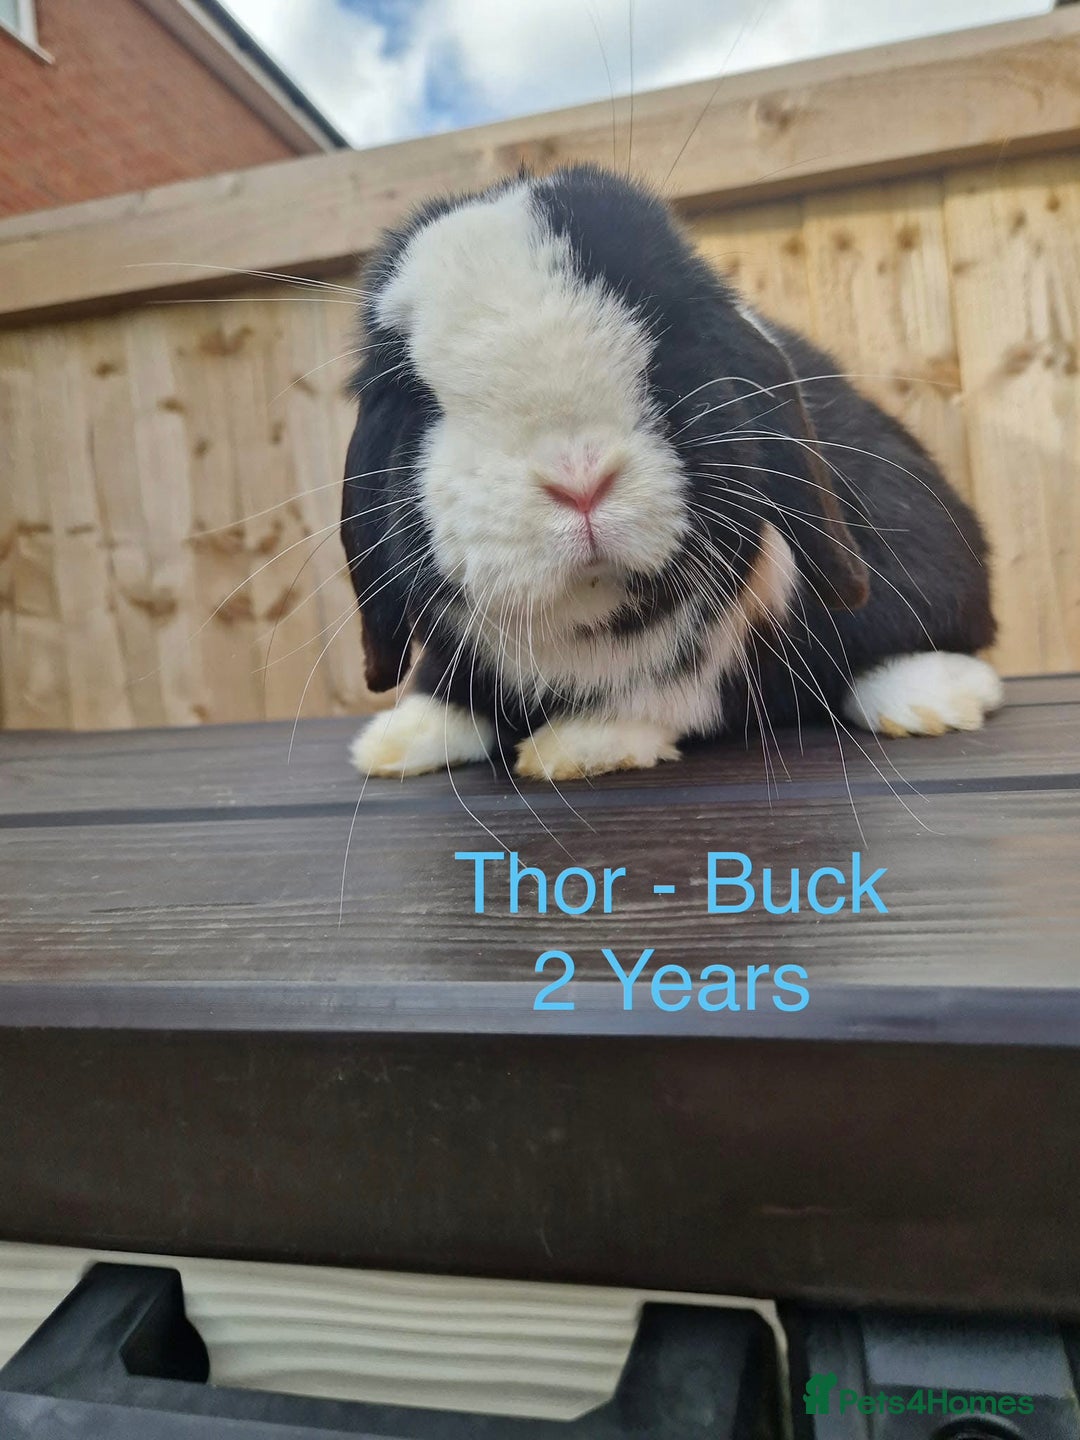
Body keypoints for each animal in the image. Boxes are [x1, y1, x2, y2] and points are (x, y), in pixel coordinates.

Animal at [341, 164, 1001, 782]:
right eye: (420, 398)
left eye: (663, 345)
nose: (579, 481)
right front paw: (399, 739)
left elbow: (677, 690)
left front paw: (577, 746)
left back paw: (927, 701)